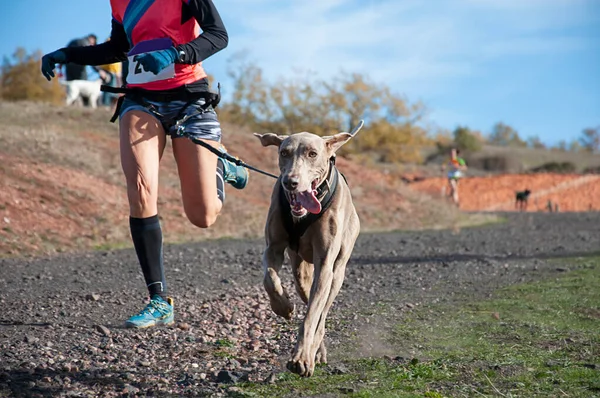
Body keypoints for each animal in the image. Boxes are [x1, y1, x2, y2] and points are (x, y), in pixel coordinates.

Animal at [253, 123, 360, 378]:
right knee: (303, 285)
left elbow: (312, 315)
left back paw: (314, 351)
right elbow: (269, 279)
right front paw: (283, 307)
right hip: (300, 269)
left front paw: (301, 357)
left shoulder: (325, 266)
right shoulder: (273, 248)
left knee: (322, 311)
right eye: (284, 152)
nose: (290, 182)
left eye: (312, 153)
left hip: (337, 272)